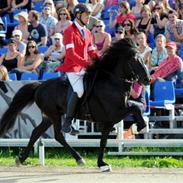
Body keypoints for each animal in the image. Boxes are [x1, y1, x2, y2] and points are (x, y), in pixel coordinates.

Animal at [0, 38, 150, 172]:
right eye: (135, 60)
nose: (147, 79)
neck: (112, 82)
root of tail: (40, 85)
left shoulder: (110, 119)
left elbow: (104, 140)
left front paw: (102, 164)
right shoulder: (114, 113)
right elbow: (135, 108)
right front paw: (141, 126)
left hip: (48, 117)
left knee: (36, 132)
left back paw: (21, 158)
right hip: (54, 115)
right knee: (58, 135)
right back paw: (79, 158)